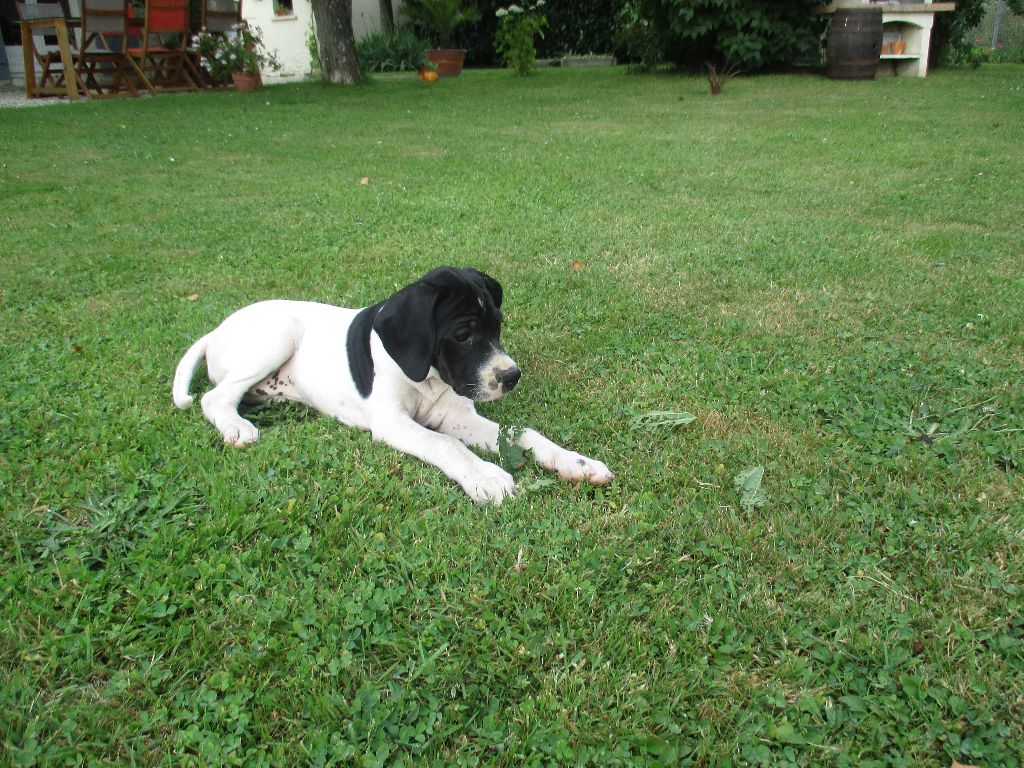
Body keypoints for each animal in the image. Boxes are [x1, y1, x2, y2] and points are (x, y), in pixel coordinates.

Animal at [172, 266, 610, 505]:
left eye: (498, 327)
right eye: (464, 334)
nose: (511, 376)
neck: (428, 378)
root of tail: (216, 331)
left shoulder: (458, 417)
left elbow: (524, 434)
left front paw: (575, 463)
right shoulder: (394, 423)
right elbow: (446, 445)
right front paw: (486, 477)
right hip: (279, 334)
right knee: (214, 397)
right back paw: (236, 426)